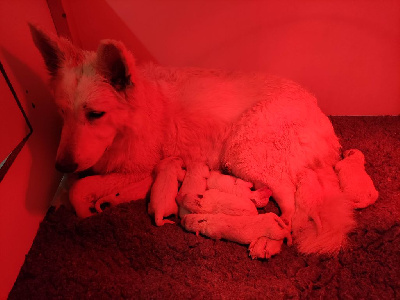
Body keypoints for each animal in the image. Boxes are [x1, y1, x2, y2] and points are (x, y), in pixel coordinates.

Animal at [28, 24, 372, 258]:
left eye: (95, 114)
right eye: (62, 112)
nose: (61, 163)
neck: (133, 118)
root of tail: (320, 115)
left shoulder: (141, 166)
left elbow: (78, 187)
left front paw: (85, 208)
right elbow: (71, 183)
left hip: (242, 151)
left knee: (291, 207)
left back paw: (269, 239)